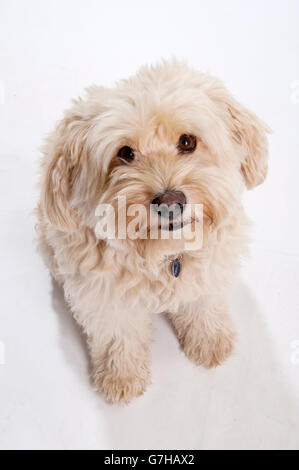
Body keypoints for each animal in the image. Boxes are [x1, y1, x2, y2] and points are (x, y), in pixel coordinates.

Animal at [36, 59, 270, 404]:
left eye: (187, 141)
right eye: (125, 153)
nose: (171, 203)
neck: (164, 254)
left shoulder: (209, 269)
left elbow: (203, 304)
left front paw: (209, 339)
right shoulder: (105, 297)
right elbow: (118, 334)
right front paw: (121, 375)